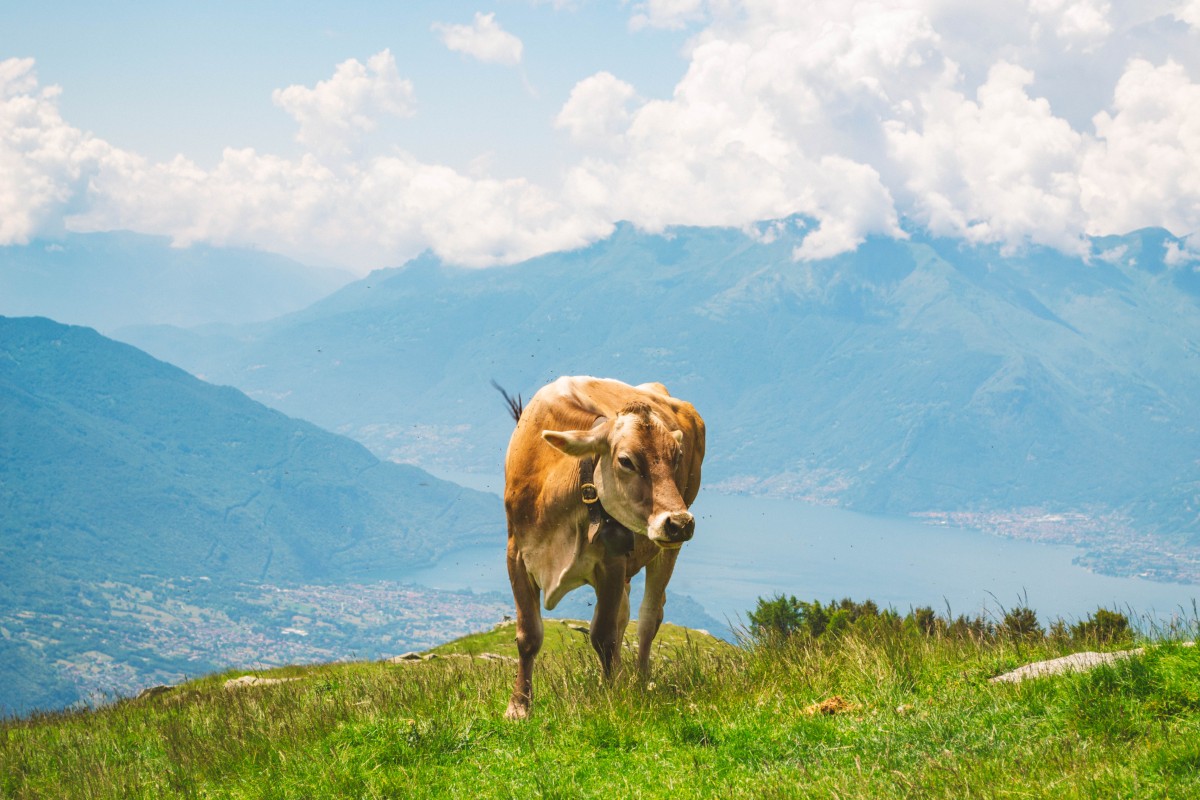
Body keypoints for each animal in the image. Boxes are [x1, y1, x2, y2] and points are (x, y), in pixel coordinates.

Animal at [494, 376, 700, 719]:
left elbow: (603, 635)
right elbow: (528, 635)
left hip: (667, 547)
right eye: (626, 461)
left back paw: (639, 681)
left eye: (677, 458)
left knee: (648, 618)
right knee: (624, 617)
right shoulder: (517, 555)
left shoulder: (612, 561)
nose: (680, 522)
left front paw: (612, 696)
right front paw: (519, 706)